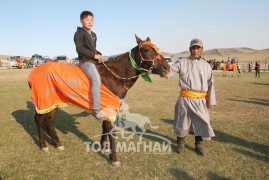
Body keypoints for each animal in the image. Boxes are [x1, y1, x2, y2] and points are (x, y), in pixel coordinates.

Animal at [29, 35, 170, 167]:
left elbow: (105, 127)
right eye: (146, 50)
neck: (114, 77)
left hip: (52, 102)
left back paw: (57, 143)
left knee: (49, 120)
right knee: (39, 119)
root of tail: (34, 71)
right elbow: (111, 130)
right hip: (43, 101)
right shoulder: (109, 108)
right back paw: (43, 145)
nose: (167, 68)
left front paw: (104, 147)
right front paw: (114, 158)